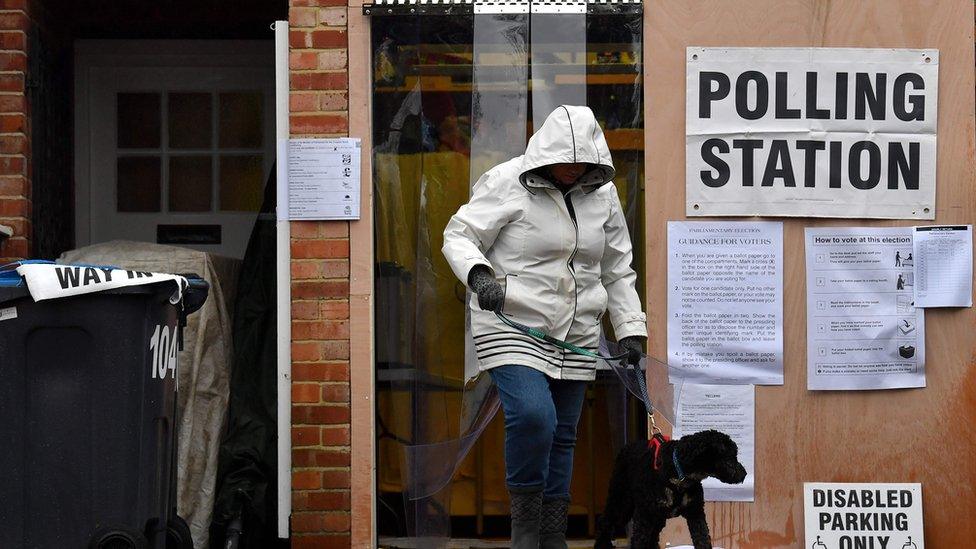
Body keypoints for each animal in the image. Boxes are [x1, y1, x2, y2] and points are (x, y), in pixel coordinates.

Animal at [596, 430, 748, 544]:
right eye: (729, 459)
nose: (744, 474)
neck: (678, 474)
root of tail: (626, 447)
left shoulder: (696, 512)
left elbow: (703, 539)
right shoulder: (644, 515)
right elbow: (639, 541)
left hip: (656, 518)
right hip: (621, 500)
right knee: (606, 524)